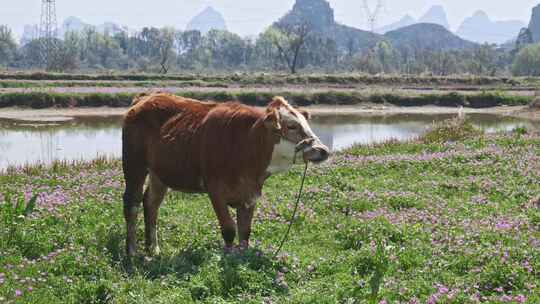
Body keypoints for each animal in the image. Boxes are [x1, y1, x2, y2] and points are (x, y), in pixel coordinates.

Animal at [122, 93, 330, 256]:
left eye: (306, 124)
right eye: (292, 126)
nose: (323, 150)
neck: (245, 142)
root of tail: (145, 98)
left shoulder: (250, 195)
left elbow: (245, 232)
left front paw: (243, 257)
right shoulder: (216, 192)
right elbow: (229, 230)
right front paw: (229, 257)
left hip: (159, 174)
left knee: (151, 203)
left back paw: (153, 248)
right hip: (134, 166)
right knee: (132, 204)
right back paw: (132, 251)